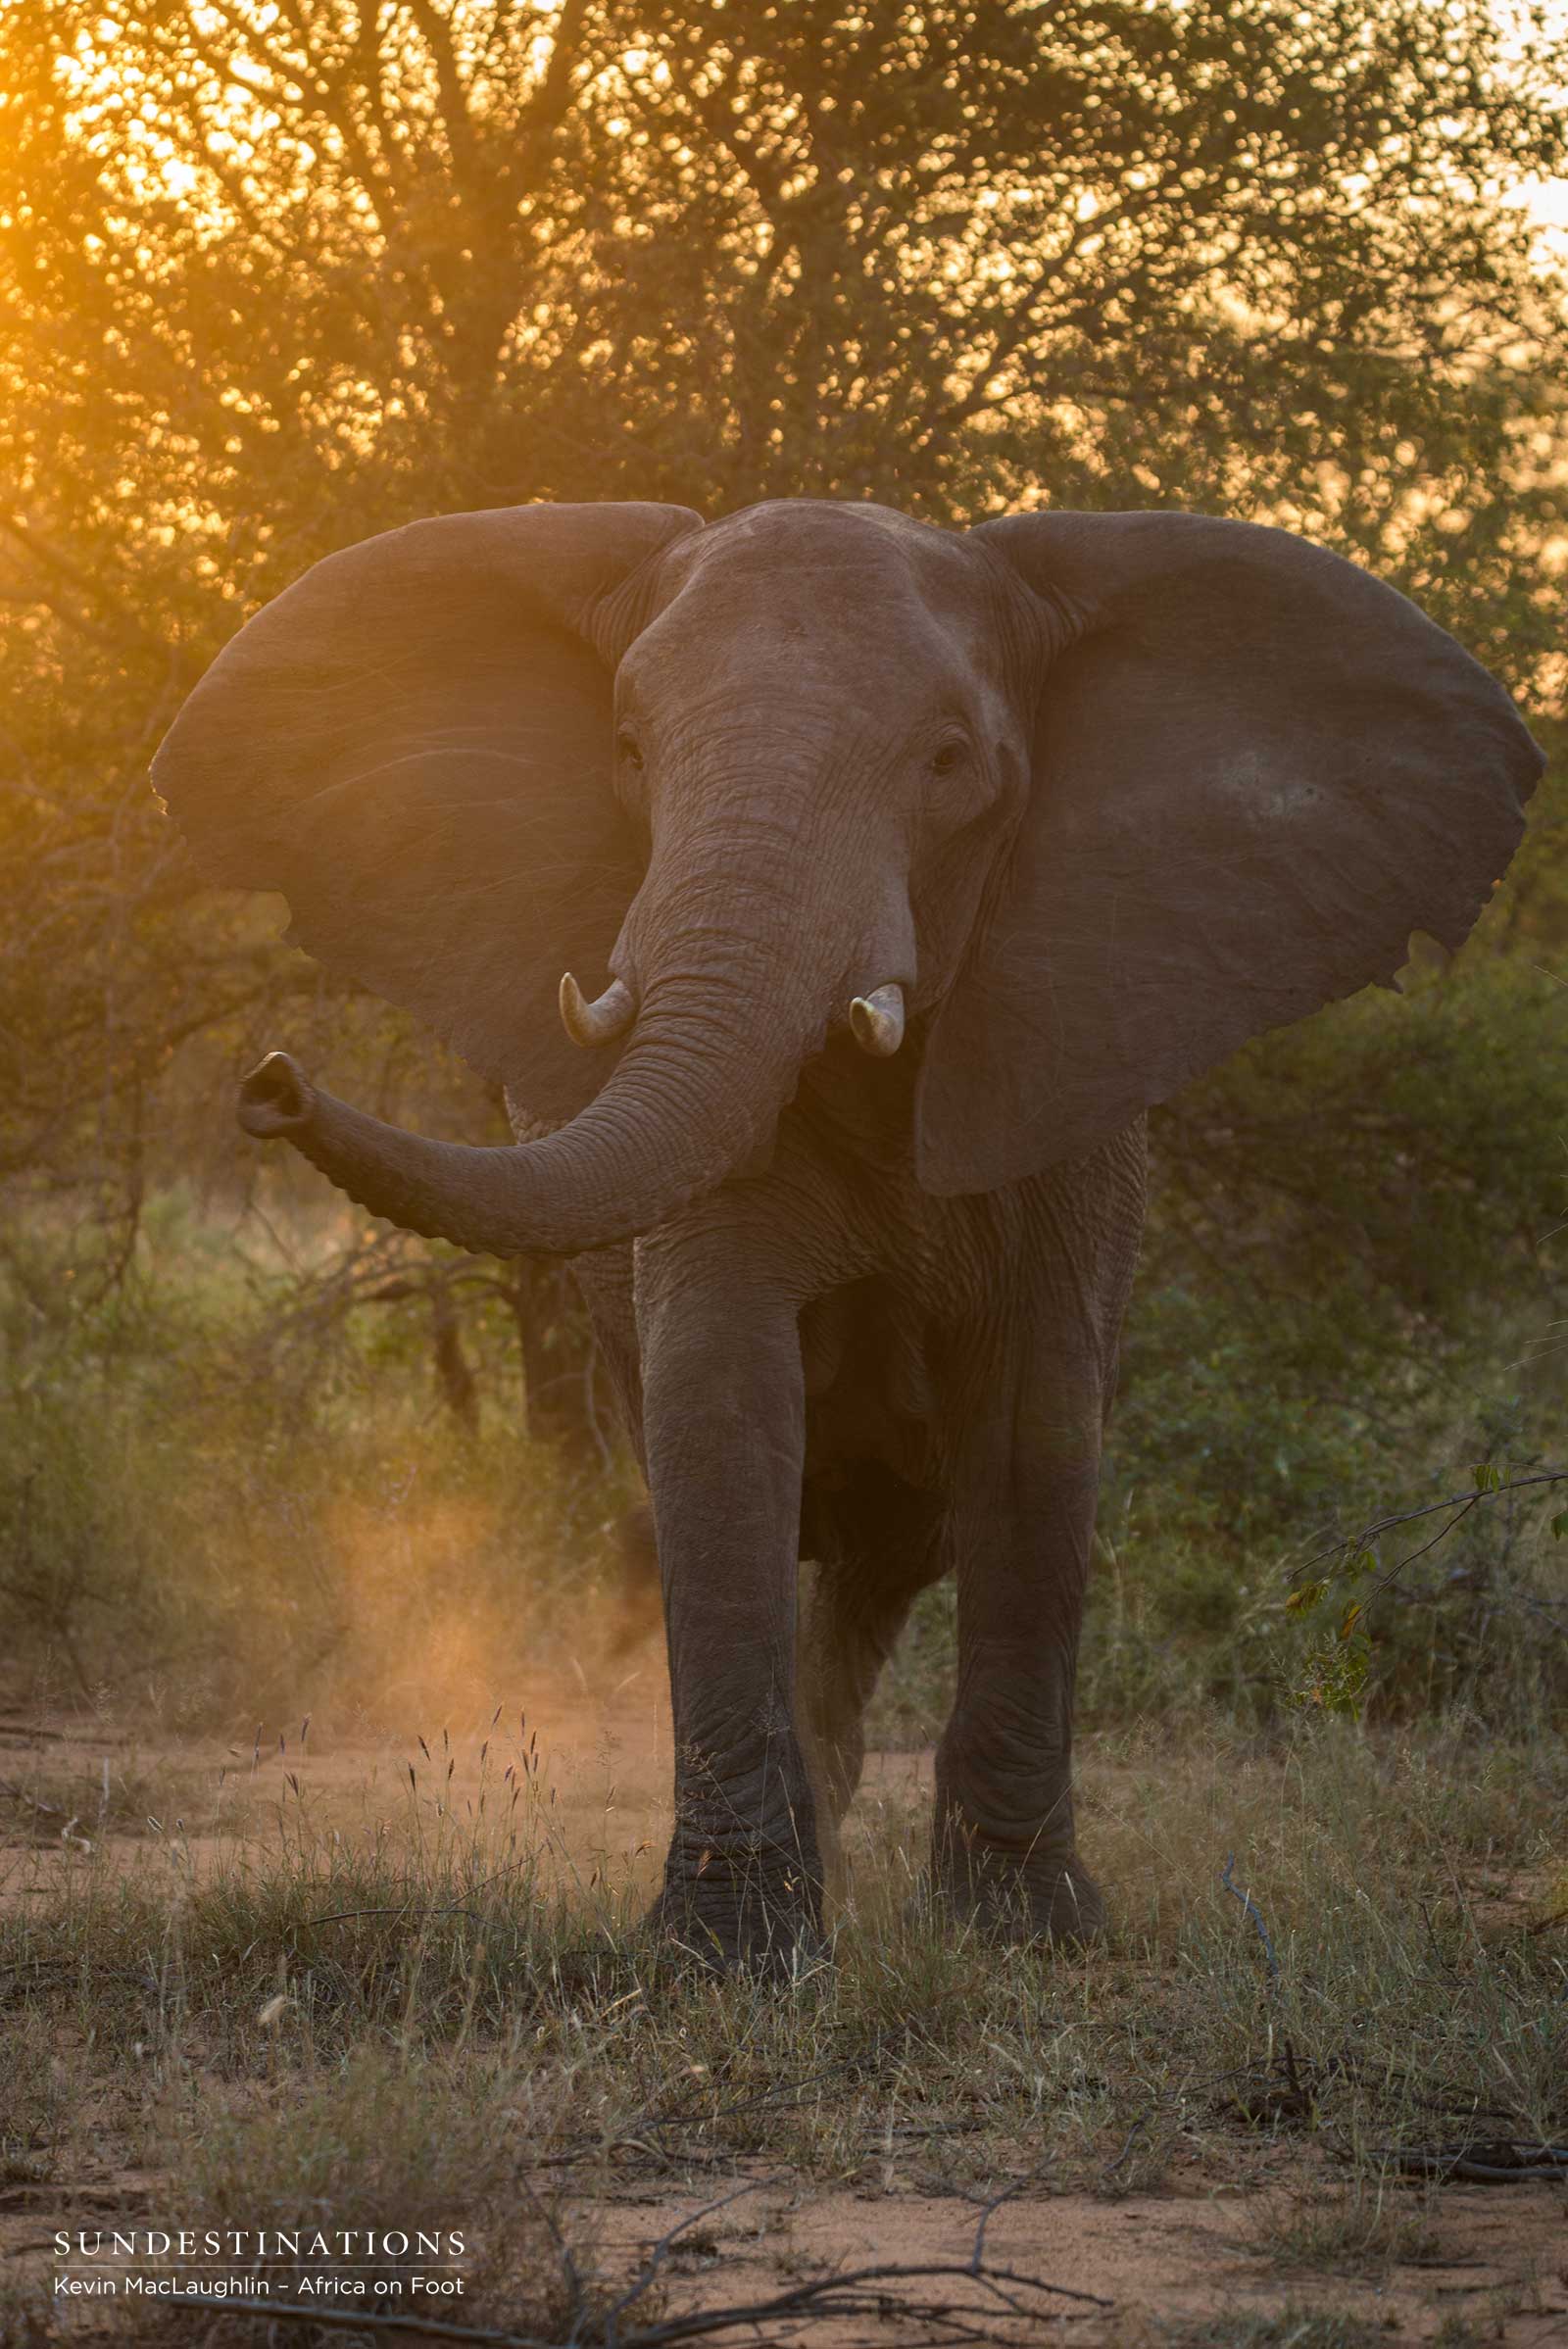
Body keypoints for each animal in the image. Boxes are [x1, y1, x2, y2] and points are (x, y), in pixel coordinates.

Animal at [152, 496, 1540, 1972]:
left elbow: (1036, 1431)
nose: (270, 1080)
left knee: (894, 1548)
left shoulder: (1065, 1076)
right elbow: (720, 1403)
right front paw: (729, 1958)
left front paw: (1023, 1935)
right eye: (628, 751)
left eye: (950, 762)